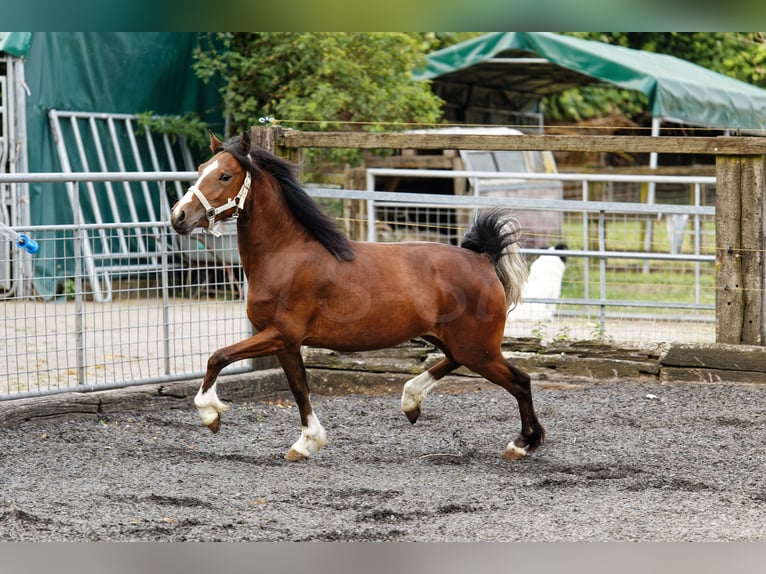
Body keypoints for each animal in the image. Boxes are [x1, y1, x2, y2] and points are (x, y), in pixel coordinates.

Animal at [172, 132, 544, 464]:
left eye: (225, 175)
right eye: (202, 167)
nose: (178, 216)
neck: (286, 254)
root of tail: (482, 258)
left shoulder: (280, 334)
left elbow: (218, 357)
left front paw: (211, 415)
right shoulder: (287, 342)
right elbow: (299, 389)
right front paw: (306, 443)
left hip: (478, 347)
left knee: (520, 381)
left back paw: (522, 444)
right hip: (457, 341)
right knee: (455, 361)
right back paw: (411, 401)